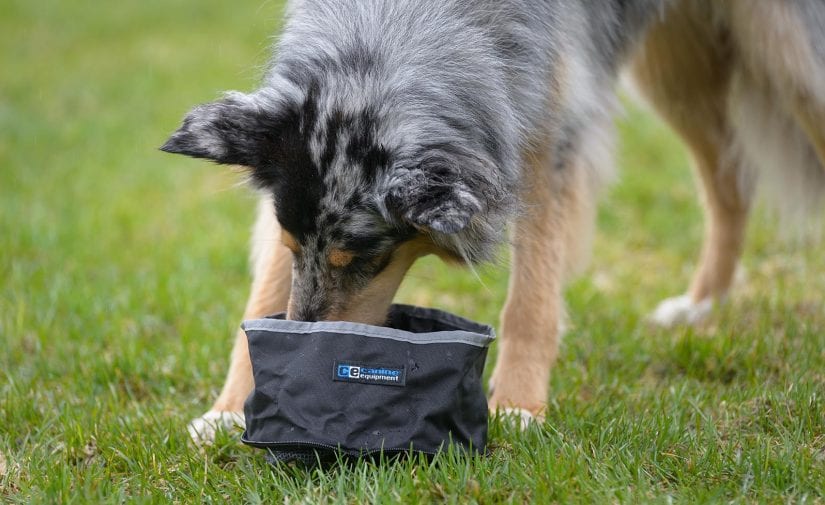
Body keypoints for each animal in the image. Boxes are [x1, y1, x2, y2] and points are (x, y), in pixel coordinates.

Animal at [159, 0, 824, 440]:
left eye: (370, 257)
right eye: (295, 243)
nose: (309, 348)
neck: (405, 24)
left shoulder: (544, 131)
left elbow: (531, 299)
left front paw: (521, 406)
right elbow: (264, 292)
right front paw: (228, 409)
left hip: (791, 58)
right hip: (677, 67)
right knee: (731, 182)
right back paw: (700, 305)